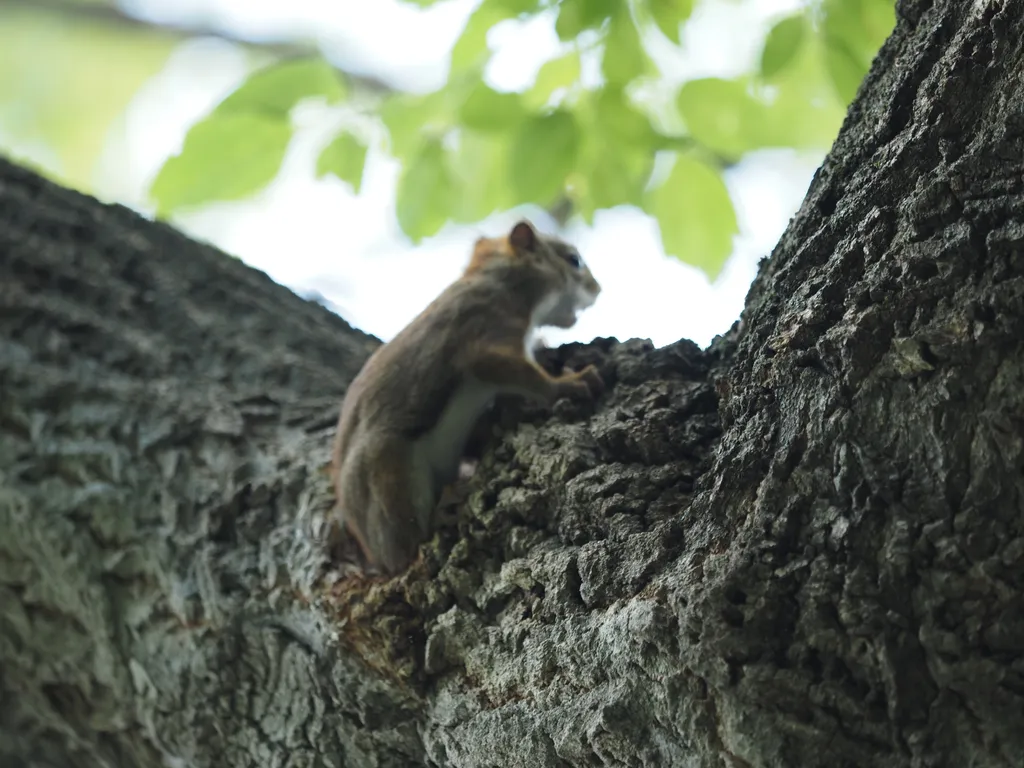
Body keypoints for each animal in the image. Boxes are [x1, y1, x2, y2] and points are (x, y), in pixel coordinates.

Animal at [329, 219, 598, 573]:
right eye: (574, 260)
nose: (598, 288)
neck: (499, 281)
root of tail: (375, 555)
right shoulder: (484, 331)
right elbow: (521, 375)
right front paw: (569, 383)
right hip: (391, 477)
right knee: (409, 543)